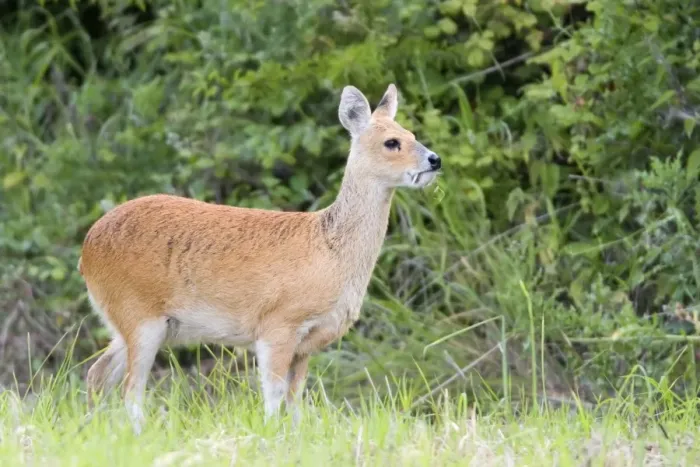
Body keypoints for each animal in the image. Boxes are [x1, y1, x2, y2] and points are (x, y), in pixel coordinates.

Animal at [78, 83, 442, 434]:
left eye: (412, 133)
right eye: (392, 142)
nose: (434, 159)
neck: (331, 252)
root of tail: (87, 250)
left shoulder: (307, 344)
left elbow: (296, 400)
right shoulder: (278, 324)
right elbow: (273, 395)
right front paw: (269, 437)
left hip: (132, 323)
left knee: (98, 374)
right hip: (139, 315)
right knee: (131, 391)